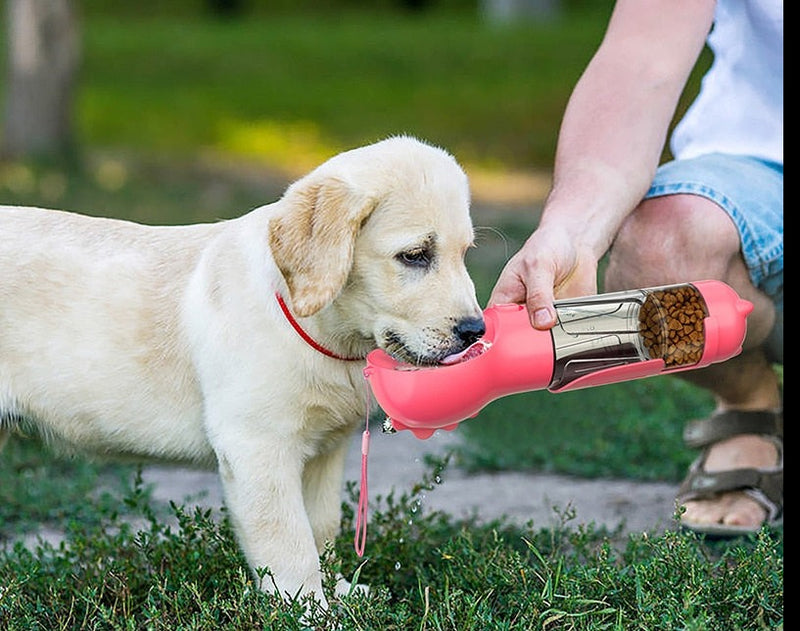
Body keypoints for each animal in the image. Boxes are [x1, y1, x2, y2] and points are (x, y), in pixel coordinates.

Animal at [0, 136, 484, 608]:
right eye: (415, 256)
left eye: (465, 254)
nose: (475, 331)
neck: (321, 330)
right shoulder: (257, 446)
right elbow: (290, 542)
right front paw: (309, 608)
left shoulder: (326, 451)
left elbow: (321, 528)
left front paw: (340, 593)